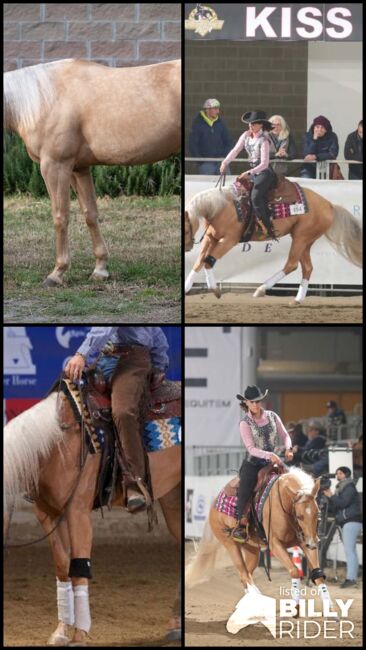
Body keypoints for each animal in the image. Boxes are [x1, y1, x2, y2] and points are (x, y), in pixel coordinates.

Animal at [4, 388, 182, 640]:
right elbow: (62, 568)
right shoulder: (47, 513)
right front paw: (61, 631)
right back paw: (175, 625)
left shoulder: (77, 512)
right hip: (172, 498)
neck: (57, 444)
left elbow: (79, 568)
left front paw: (80, 635)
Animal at [5, 59, 182, 284]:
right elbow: (90, 214)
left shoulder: (55, 166)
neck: (43, 100)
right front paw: (100, 269)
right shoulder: (78, 169)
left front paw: (57, 273)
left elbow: (60, 216)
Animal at [184, 182, 362, 304]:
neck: (222, 207)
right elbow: (199, 261)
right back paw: (297, 300)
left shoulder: (229, 240)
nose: (187, 247)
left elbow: (208, 261)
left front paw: (215, 290)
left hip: (301, 237)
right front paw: (186, 288)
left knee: (291, 264)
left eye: (185, 230)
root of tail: (329, 205)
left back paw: (261, 289)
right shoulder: (211, 237)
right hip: (305, 241)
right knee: (307, 268)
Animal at [186, 464, 334, 624]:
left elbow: (318, 575)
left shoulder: (304, 542)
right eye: (300, 516)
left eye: (317, 513)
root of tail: (214, 503)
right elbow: (294, 571)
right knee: (244, 574)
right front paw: (294, 609)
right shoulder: (275, 544)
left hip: (252, 550)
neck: (283, 503)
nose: (313, 542)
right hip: (230, 544)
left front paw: (332, 613)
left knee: (245, 575)